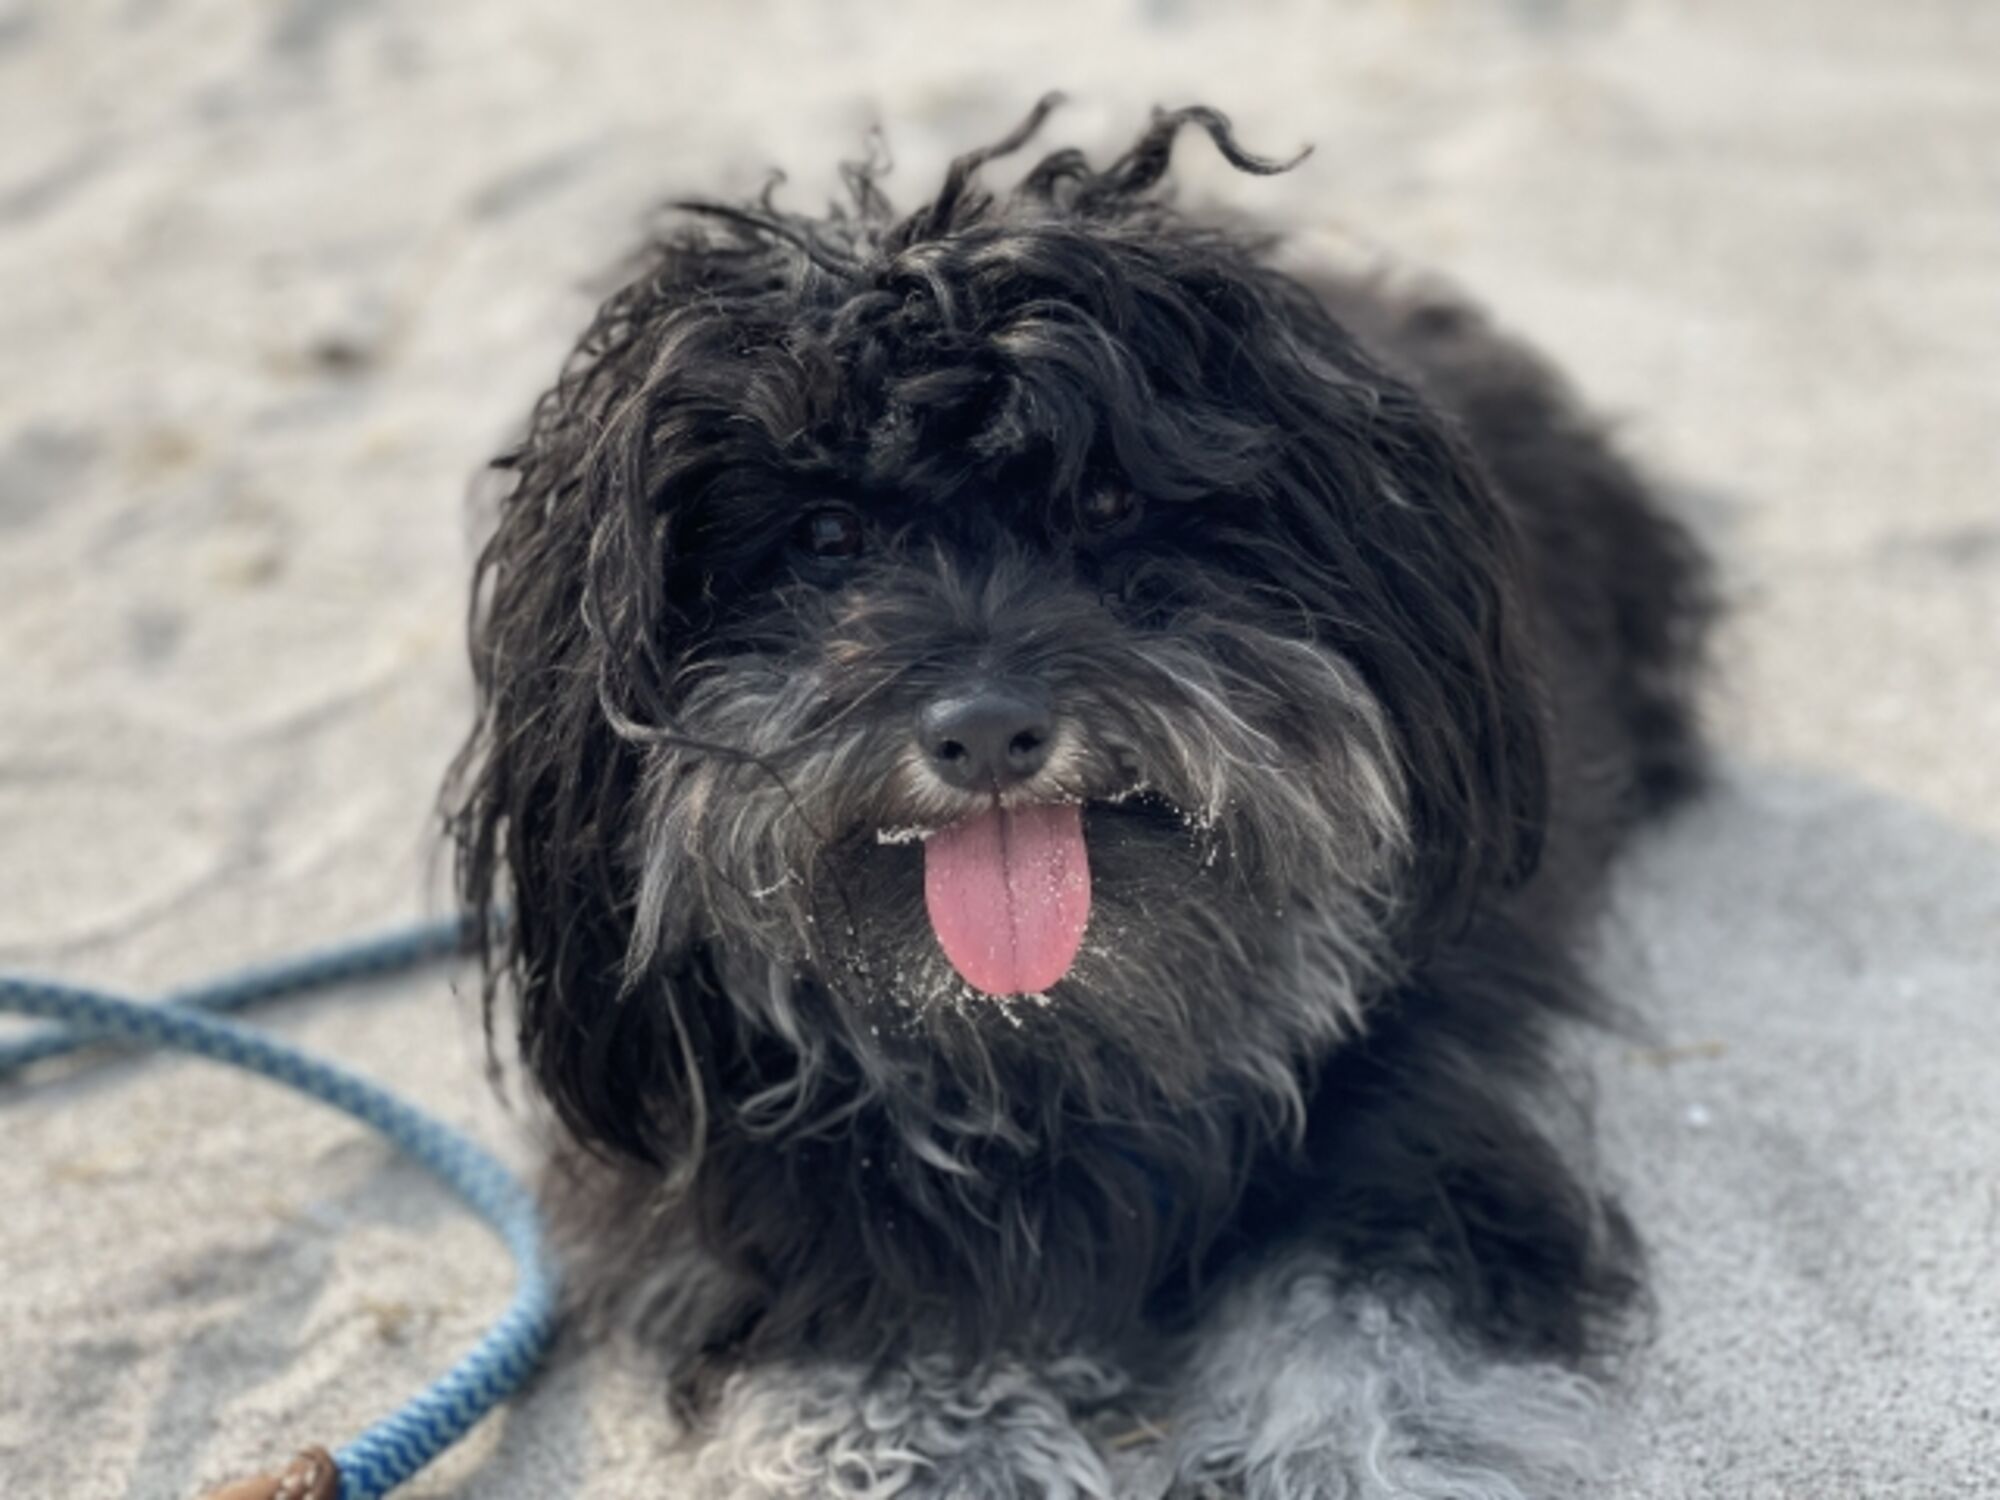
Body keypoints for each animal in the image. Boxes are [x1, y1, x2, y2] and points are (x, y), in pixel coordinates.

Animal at [446, 99, 1712, 1499]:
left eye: (1105, 502)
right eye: (824, 535)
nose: (987, 732)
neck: (1042, 1042)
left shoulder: (1419, 1121)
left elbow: (1366, 1323)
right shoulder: (751, 1189)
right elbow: (873, 1339)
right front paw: (957, 1456)